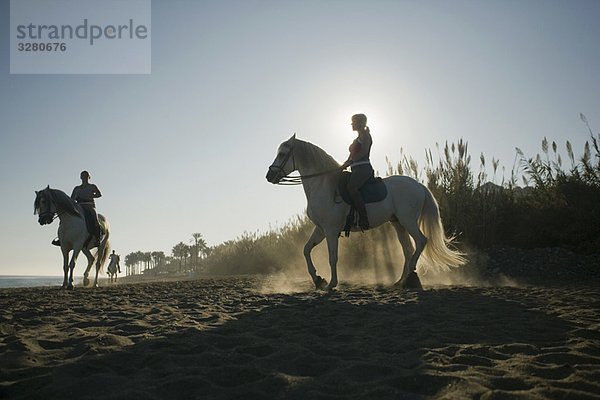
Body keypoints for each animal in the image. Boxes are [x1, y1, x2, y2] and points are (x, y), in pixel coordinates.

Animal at [268, 135, 468, 290]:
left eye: (282, 154)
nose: (269, 176)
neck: (324, 185)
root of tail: (419, 186)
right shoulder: (320, 228)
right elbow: (306, 250)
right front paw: (318, 280)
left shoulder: (331, 230)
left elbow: (333, 257)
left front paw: (331, 284)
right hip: (398, 223)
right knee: (408, 249)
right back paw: (400, 281)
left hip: (408, 221)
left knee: (420, 241)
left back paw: (409, 278)